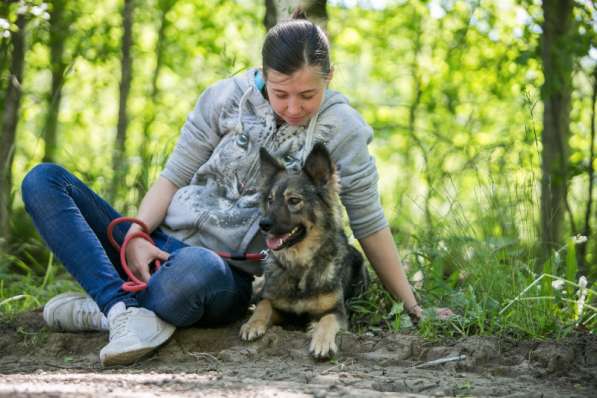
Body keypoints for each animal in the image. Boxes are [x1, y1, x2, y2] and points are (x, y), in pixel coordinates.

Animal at [240, 142, 366, 358]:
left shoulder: (337, 311)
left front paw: (321, 340)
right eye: (270, 200)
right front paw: (252, 324)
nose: (263, 224)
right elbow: (264, 304)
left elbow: (327, 320)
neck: (300, 263)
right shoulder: (279, 306)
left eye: (293, 200)